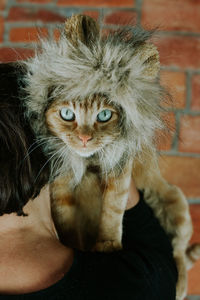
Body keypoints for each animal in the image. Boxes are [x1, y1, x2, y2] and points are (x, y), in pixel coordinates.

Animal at [20, 14, 200, 300]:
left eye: (104, 115)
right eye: (67, 114)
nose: (84, 138)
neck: (88, 163)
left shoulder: (119, 168)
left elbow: (112, 210)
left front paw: (106, 244)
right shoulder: (61, 178)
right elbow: (65, 219)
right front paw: (75, 246)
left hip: (177, 207)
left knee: (179, 254)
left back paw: (181, 285)